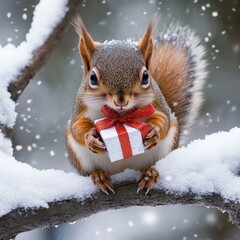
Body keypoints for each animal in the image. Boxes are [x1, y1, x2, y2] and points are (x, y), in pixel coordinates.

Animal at [65, 15, 206, 194]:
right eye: (93, 78)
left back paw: (150, 174)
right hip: (80, 158)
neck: (120, 115)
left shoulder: (157, 104)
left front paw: (154, 131)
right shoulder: (81, 109)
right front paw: (90, 137)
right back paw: (99, 175)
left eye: (145, 76)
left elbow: (163, 119)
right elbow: (78, 127)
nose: (121, 100)